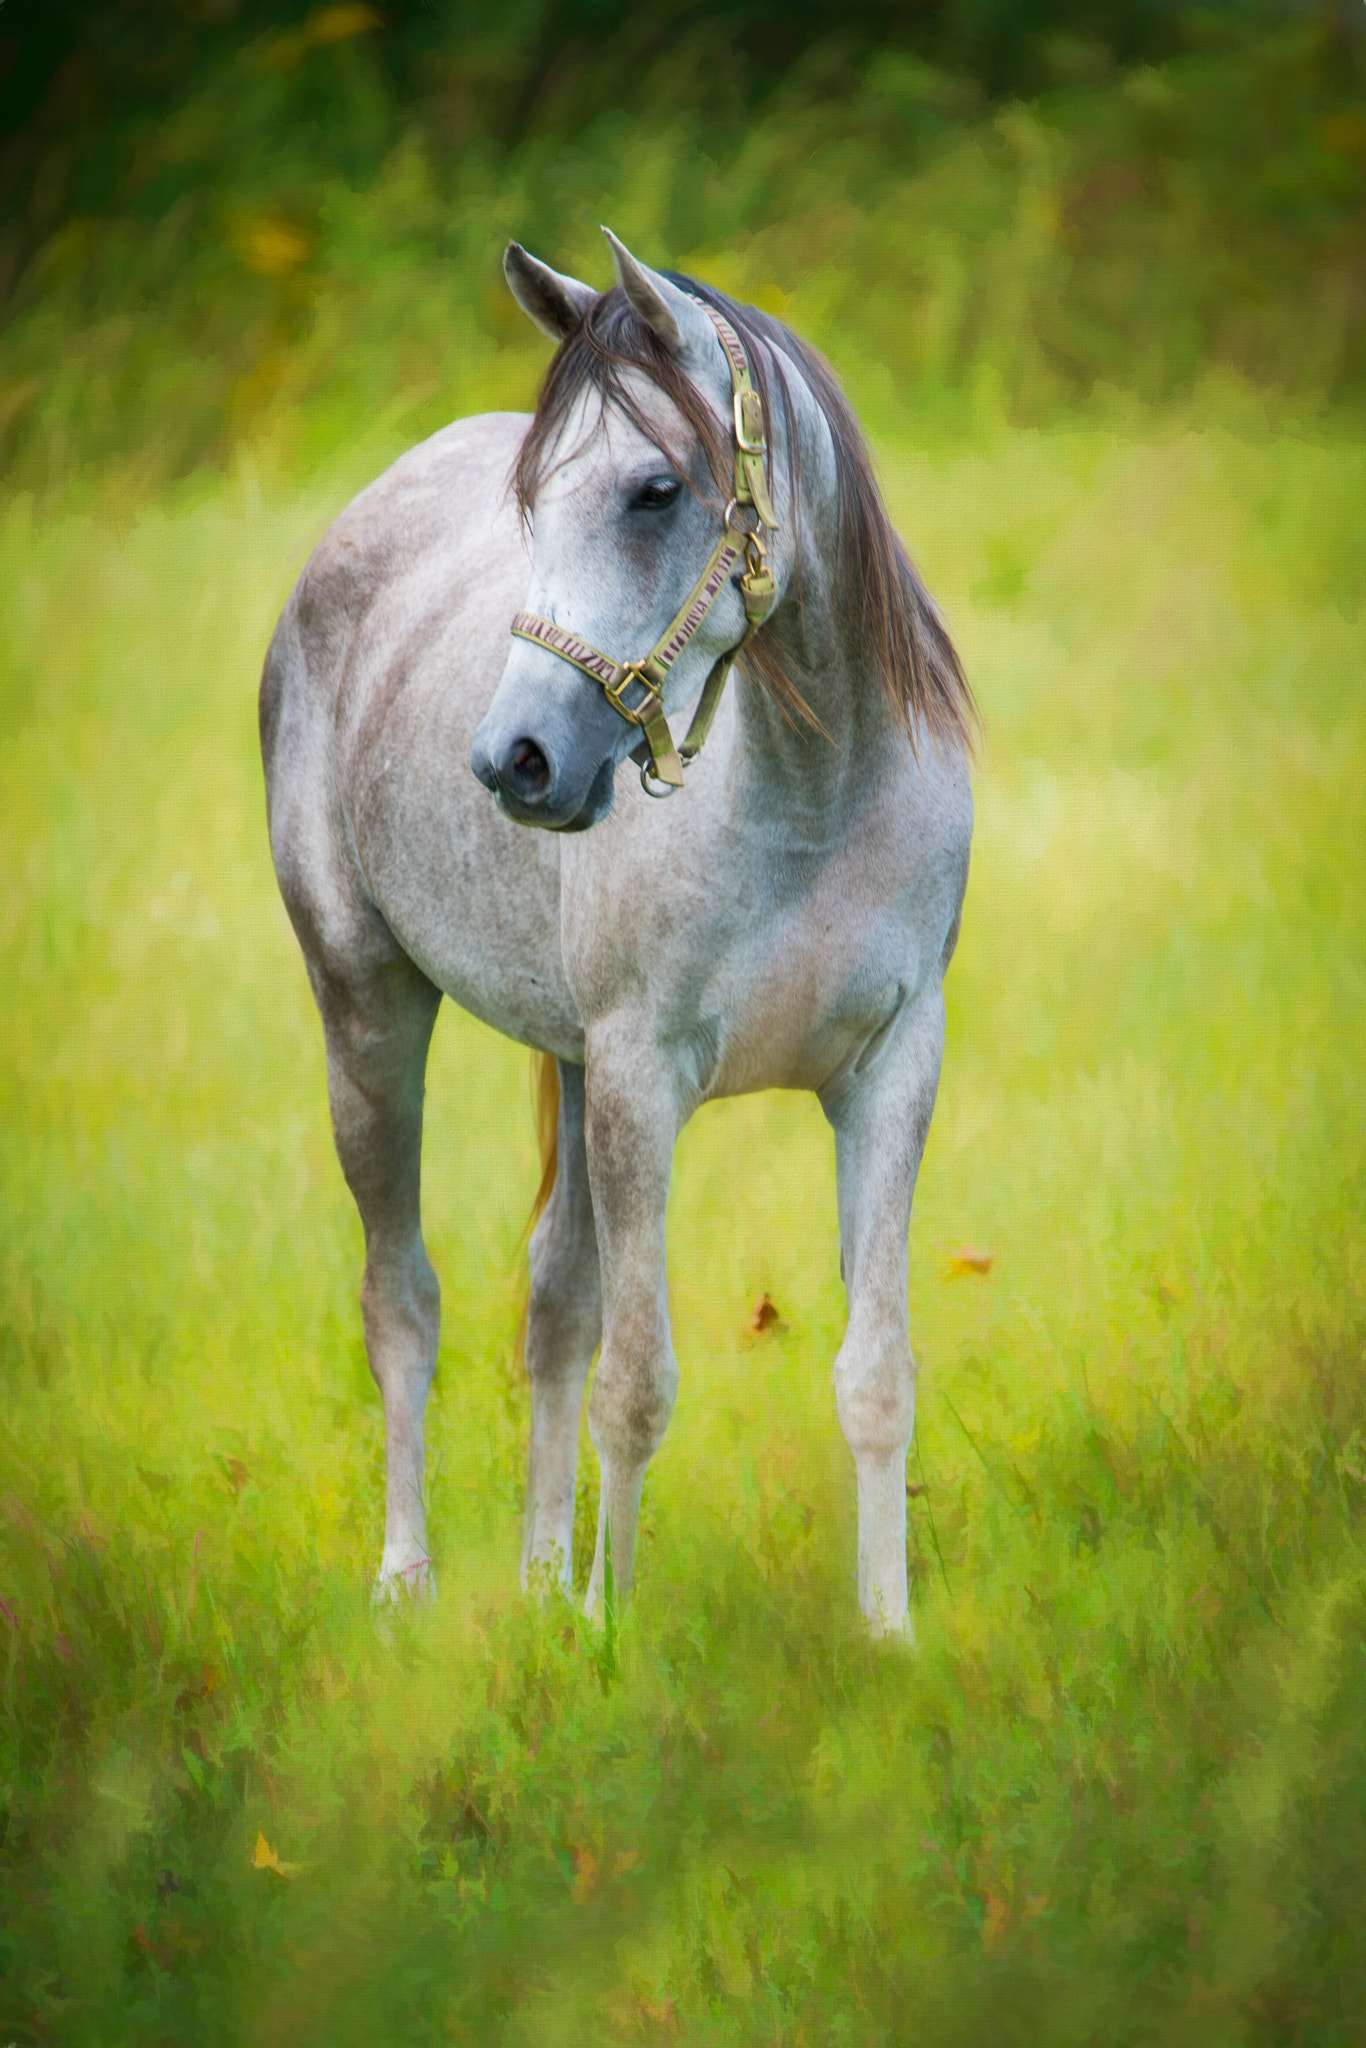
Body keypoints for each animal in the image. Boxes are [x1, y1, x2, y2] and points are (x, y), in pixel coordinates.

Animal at [262, 228, 978, 1630]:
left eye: (654, 490)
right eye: (531, 503)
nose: (516, 761)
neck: (812, 799)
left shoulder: (887, 1072)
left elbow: (874, 1373)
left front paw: (887, 1636)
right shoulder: (645, 1078)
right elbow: (637, 1381)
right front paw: (613, 1632)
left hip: (572, 1064)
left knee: (551, 1298)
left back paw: (541, 1575)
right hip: (367, 1012)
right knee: (402, 1299)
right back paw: (408, 1576)